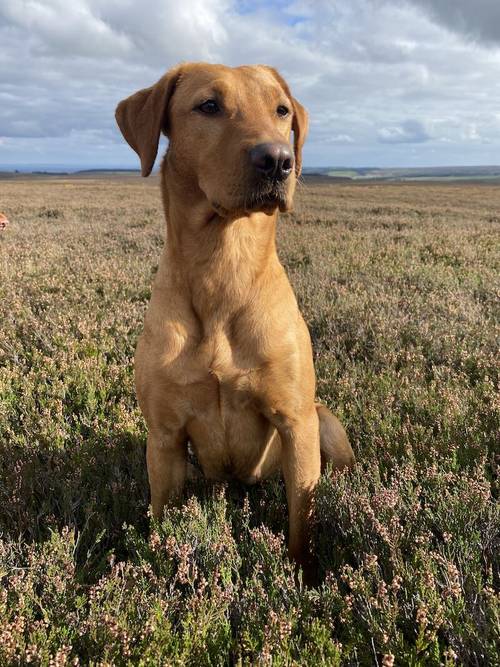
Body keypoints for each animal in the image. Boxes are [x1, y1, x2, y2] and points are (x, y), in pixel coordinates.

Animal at [115, 62, 354, 572]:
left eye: (281, 111)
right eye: (209, 106)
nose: (279, 161)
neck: (224, 268)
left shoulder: (295, 423)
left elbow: (301, 520)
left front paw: (303, 575)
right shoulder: (164, 438)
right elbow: (162, 518)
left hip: (322, 423)